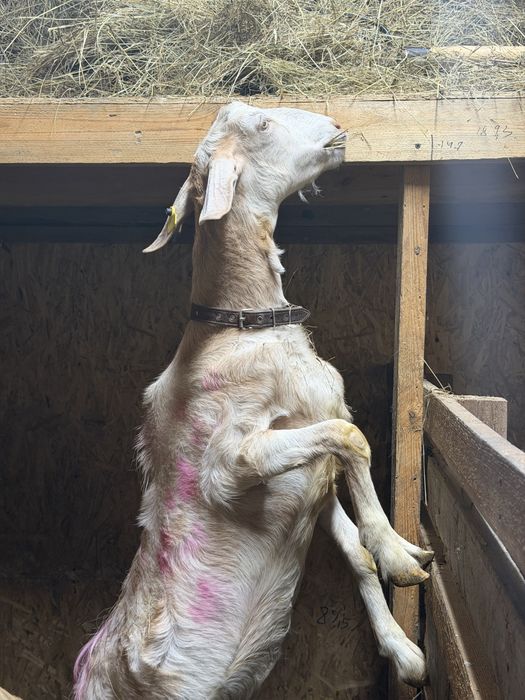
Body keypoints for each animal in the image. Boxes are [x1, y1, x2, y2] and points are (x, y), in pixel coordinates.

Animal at [74, 102, 433, 699]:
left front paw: (406, 649)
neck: (242, 327)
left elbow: (355, 549)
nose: (337, 127)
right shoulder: (229, 461)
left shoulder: (313, 473)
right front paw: (397, 553)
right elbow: (351, 437)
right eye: (262, 126)